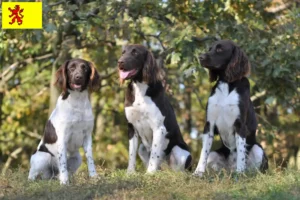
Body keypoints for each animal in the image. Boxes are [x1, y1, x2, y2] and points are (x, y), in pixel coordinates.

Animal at [118, 44, 192, 173]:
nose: (120, 62)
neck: (140, 88)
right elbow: (131, 154)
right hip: (142, 148)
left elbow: (154, 153)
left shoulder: (159, 128)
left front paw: (150, 173)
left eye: (135, 53)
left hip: (180, 151)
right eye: (123, 52)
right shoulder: (132, 127)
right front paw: (130, 173)